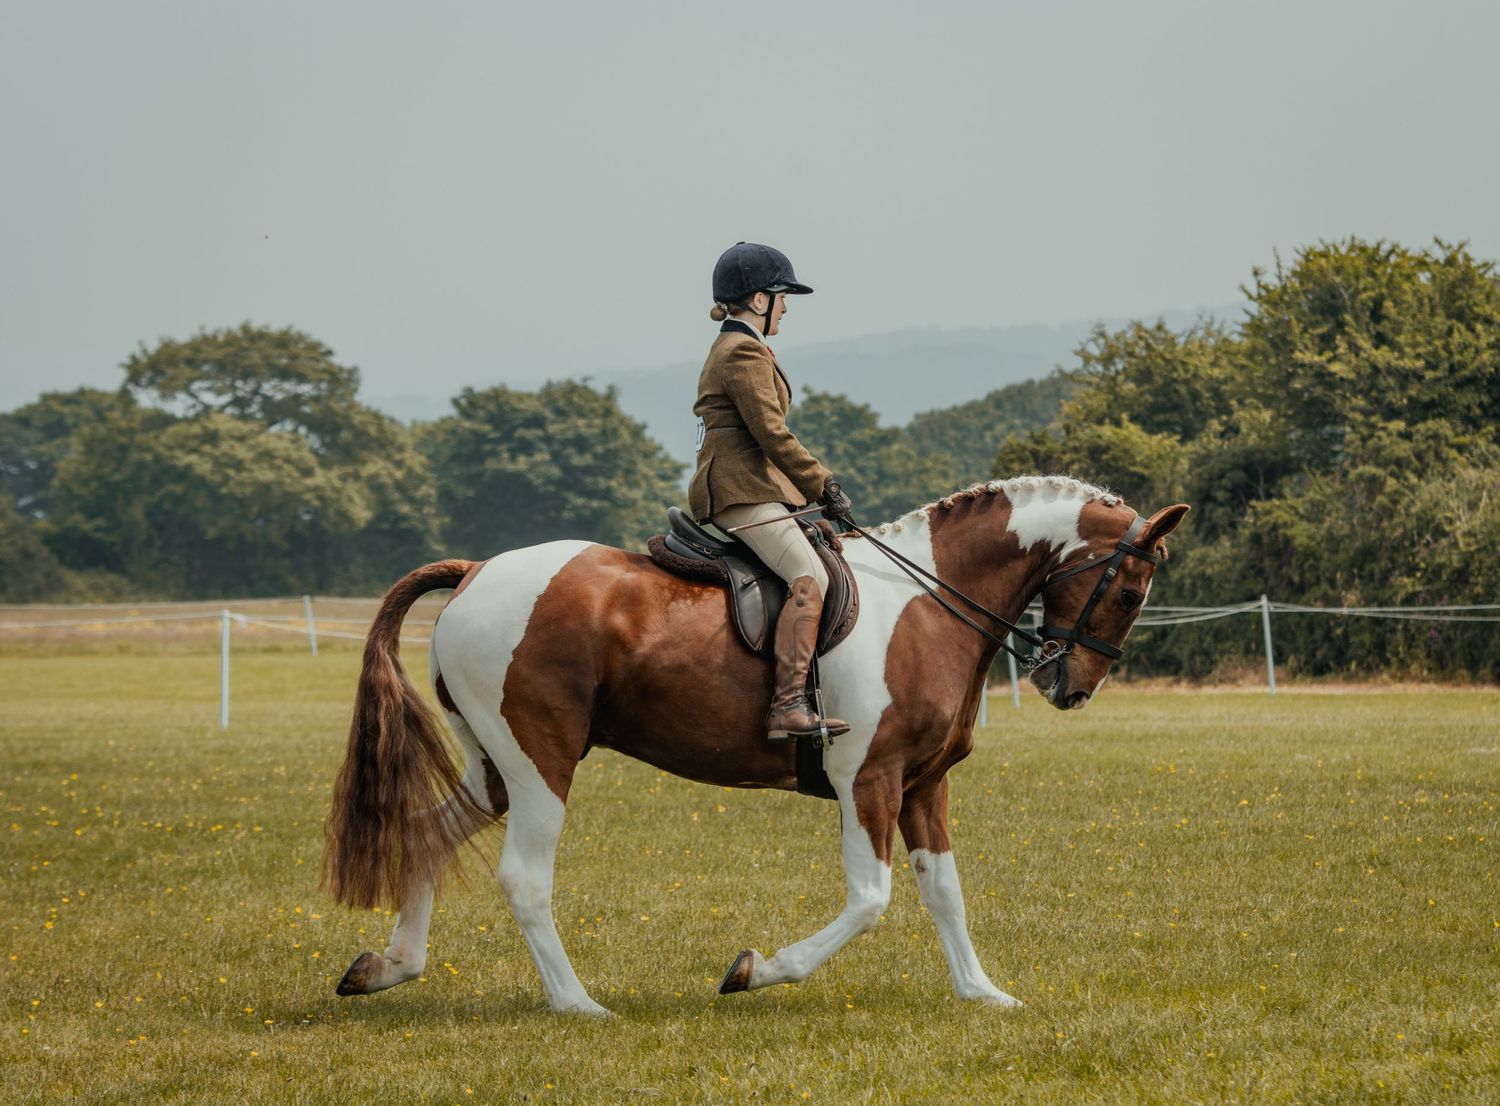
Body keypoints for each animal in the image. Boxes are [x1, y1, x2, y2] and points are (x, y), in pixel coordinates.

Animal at [322, 476, 1189, 1015]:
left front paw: (982, 994)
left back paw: (387, 968)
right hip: (543, 762)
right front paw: (757, 971)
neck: (925, 601)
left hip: (495, 766)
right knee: (525, 878)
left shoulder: (923, 783)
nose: (1070, 686)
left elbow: (944, 891)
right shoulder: (867, 780)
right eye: (1131, 589)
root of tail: (474, 572)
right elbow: (871, 899)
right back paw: (576, 1003)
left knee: (426, 834)